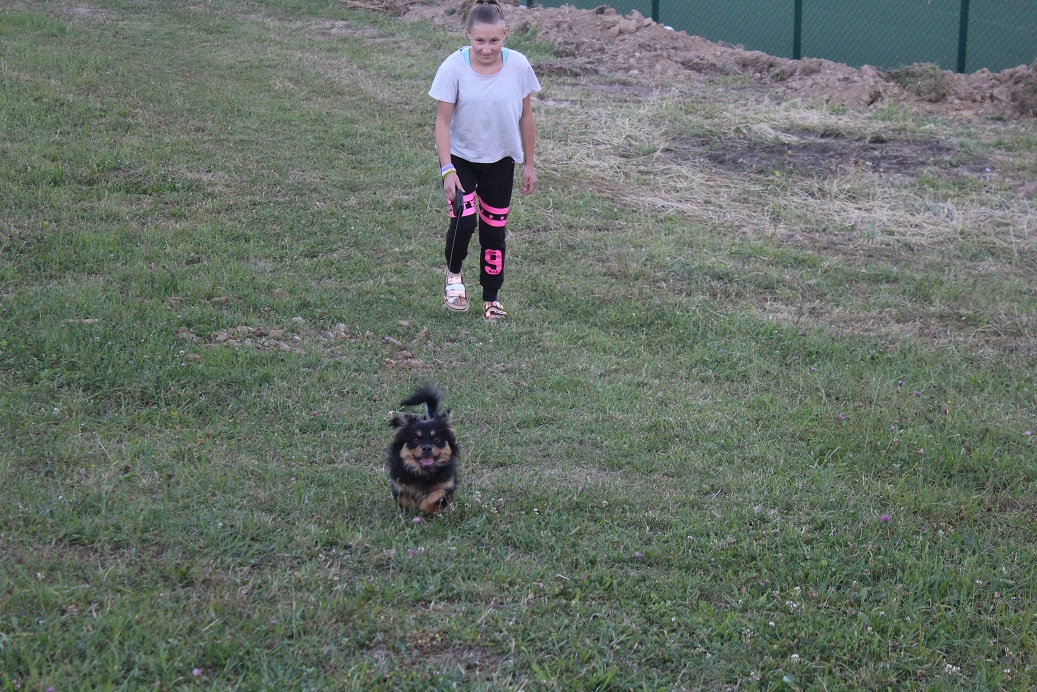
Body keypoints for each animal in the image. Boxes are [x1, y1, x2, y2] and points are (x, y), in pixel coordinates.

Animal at [387, 383, 459, 514]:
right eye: (415, 439)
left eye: (437, 439)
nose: (426, 448)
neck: (424, 474)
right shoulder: (398, 484)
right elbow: (405, 499)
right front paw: (412, 508)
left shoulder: (447, 484)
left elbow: (434, 497)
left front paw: (427, 508)